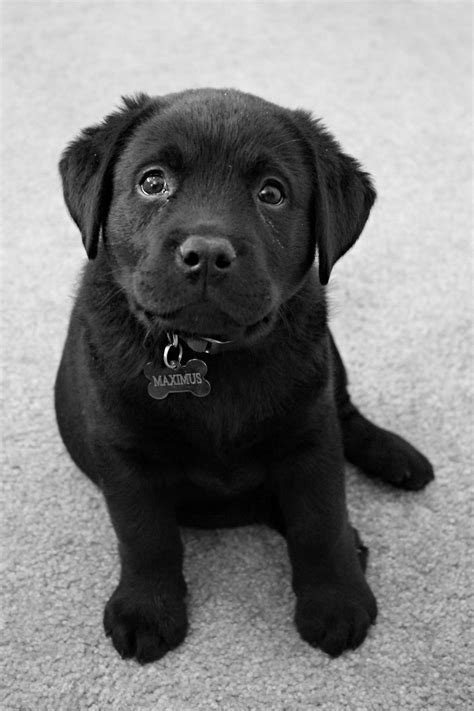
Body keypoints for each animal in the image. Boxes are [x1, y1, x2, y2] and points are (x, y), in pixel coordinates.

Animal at [54, 87, 434, 660]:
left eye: (271, 194)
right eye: (152, 182)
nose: (208, 253)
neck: (209, 354)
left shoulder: (311, 437)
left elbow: (320, 521)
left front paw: (336, 602)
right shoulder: (125, 453)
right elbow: (145, 537)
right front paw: (147, 609)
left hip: (329, 365)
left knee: (348, 416)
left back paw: (396, 460)